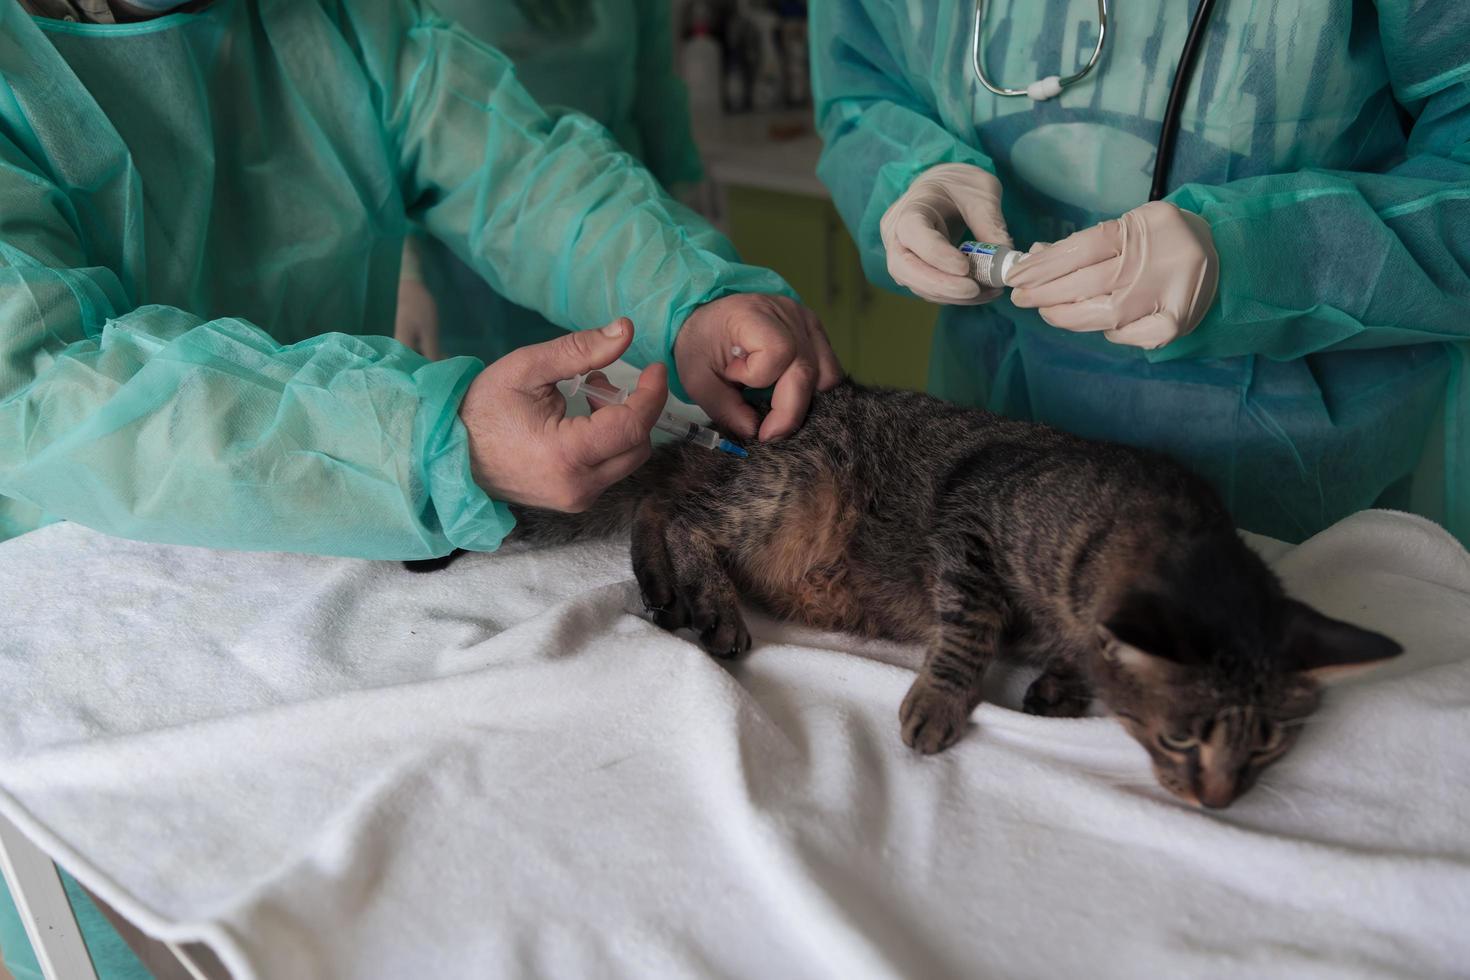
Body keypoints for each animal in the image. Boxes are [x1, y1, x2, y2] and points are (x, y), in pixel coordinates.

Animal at [411, 379, 1399, 811]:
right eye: (1183, 739)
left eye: (1266, 746)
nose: (1222, 799)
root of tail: (736, 435)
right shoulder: (968, 533)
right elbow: (970, 629)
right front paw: (941, 701)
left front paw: (1061, 684)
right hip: (787, 496)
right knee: (682, 516)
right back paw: (711, 608)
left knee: (660, 505)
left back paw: (664, 591)